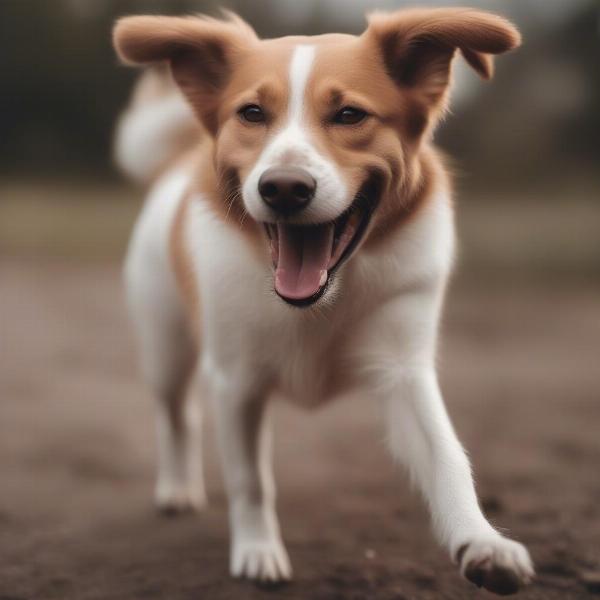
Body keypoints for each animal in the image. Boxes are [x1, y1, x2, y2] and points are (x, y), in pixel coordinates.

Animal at [112, 9, 536, 596]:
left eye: (349, 114)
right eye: (251, 113)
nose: (284, 188)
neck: (317, 301)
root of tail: (175, 164)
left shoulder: (403, 371)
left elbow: (448, 457)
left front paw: (482, 542)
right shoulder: (237, 380)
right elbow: (250, 480)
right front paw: (258, 551)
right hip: (166, 349)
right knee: (177, 415)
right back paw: (177, 487)